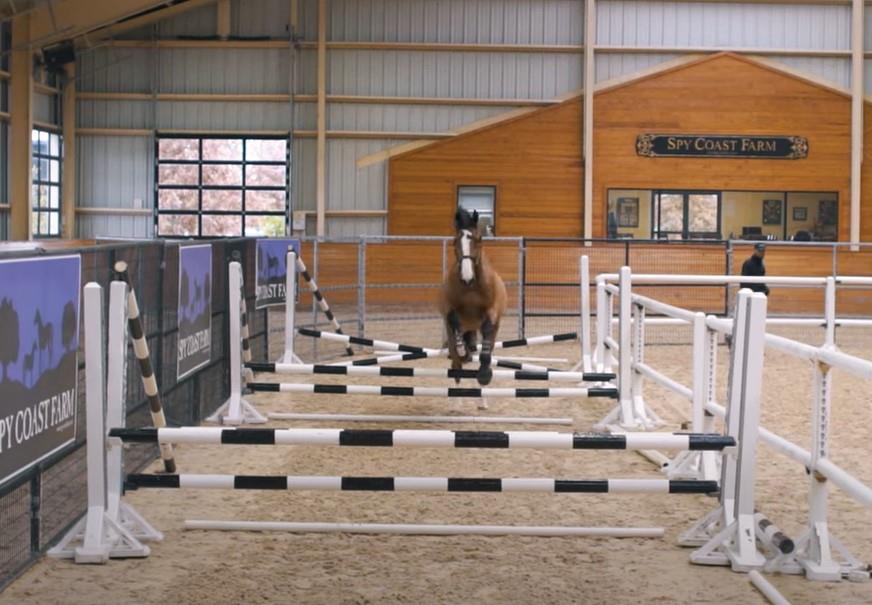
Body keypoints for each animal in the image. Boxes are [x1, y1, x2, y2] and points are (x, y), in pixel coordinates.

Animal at [438, 208, 507, 386]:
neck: (472, 287)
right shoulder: (449, 307)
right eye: (455, 241)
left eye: (478, 239)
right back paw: (460, 357)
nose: (466, 277)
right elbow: (454, 320)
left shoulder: (492, 310)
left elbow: (488, 328)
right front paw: (462, 350)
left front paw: (484, 374)